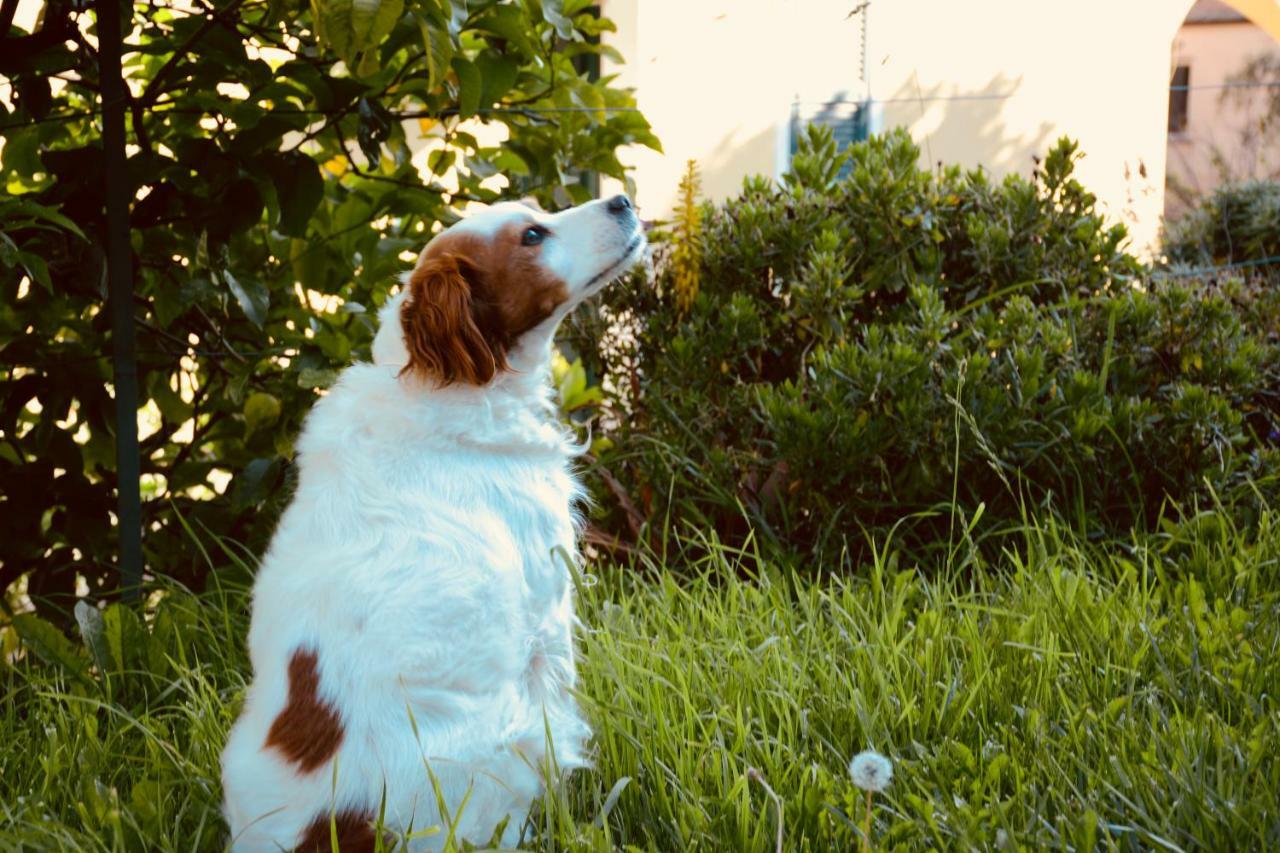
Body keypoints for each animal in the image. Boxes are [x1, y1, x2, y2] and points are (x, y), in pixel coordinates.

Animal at [221, 195, 645, 845]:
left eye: (535, 210)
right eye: (532, 235)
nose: (622, 199)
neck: (448, 384)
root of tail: (333, 828)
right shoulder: (546, 606)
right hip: (504, 746)